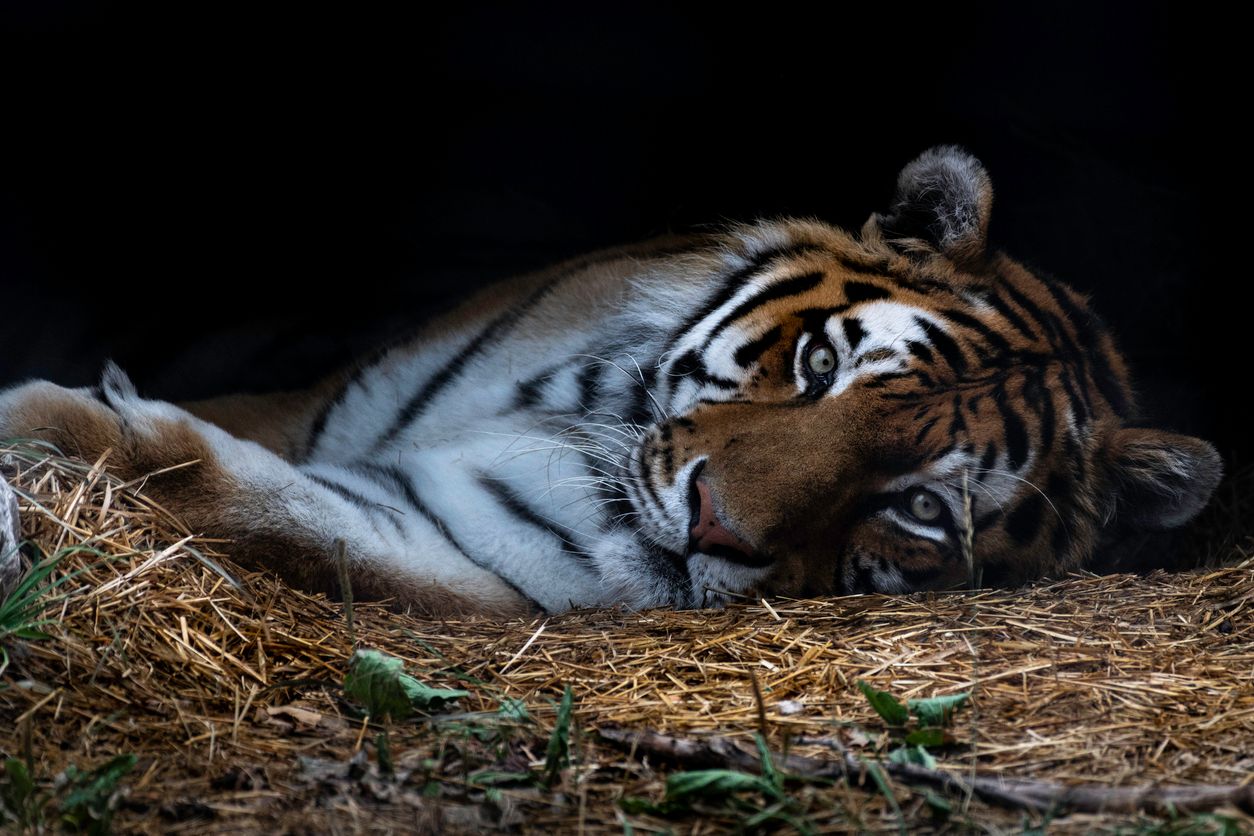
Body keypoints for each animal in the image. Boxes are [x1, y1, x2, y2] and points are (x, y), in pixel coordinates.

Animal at [0, 147, 1223, 616]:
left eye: (921, 507)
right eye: (822, 364)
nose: (713, 524)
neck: (570, 415)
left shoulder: (461, 551)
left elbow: (257, 506)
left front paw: (47, 415)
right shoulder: (307, 406)